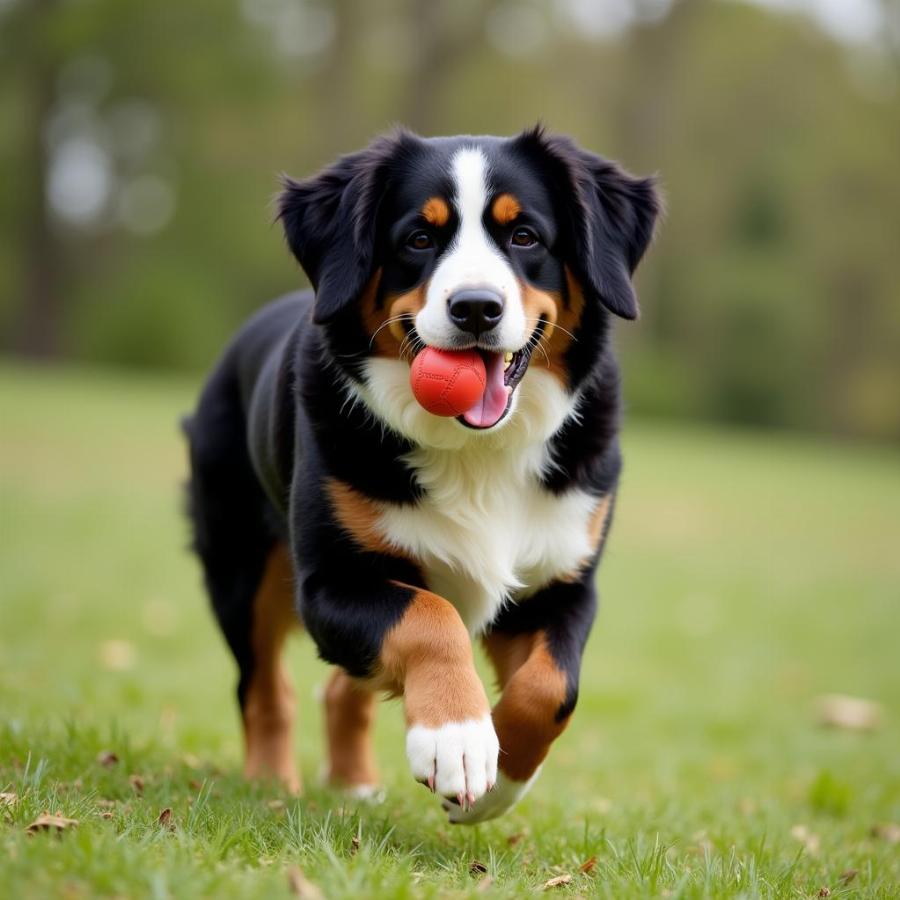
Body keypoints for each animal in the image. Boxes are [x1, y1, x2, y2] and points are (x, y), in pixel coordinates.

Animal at [185, 126, 660, 824]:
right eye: (418, 238)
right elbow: (430, 620)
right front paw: (459, 740)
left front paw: (501, 777)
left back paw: (353, 782)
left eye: (525, 236)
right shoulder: (334, 580)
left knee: (340, 687)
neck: (476, 452)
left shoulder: (561, 584)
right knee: (264, 687)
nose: (476, 308)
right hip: (241, 568)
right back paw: (271, 784)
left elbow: (553, 688)